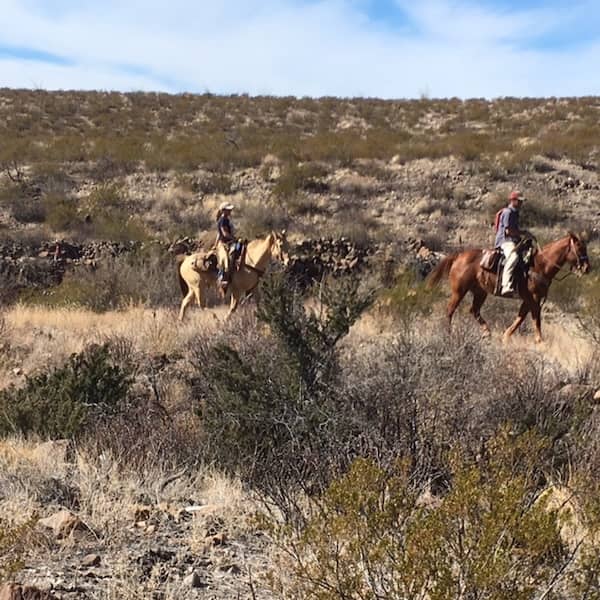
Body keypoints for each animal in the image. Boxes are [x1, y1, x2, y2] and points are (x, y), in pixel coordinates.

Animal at [426, 232, 592, 342]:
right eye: (579, 248)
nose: (587, 268)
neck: (540, 265)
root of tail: (458, 256)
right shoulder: (534, 299)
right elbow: (536, 318)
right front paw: (540, 341)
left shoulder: (528, 300)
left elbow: (520, 318)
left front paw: (506, 336)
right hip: (459, 291)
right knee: (450, 310)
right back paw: (448, 333)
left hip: (480, 292)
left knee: (474, 310)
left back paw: (487, 332)